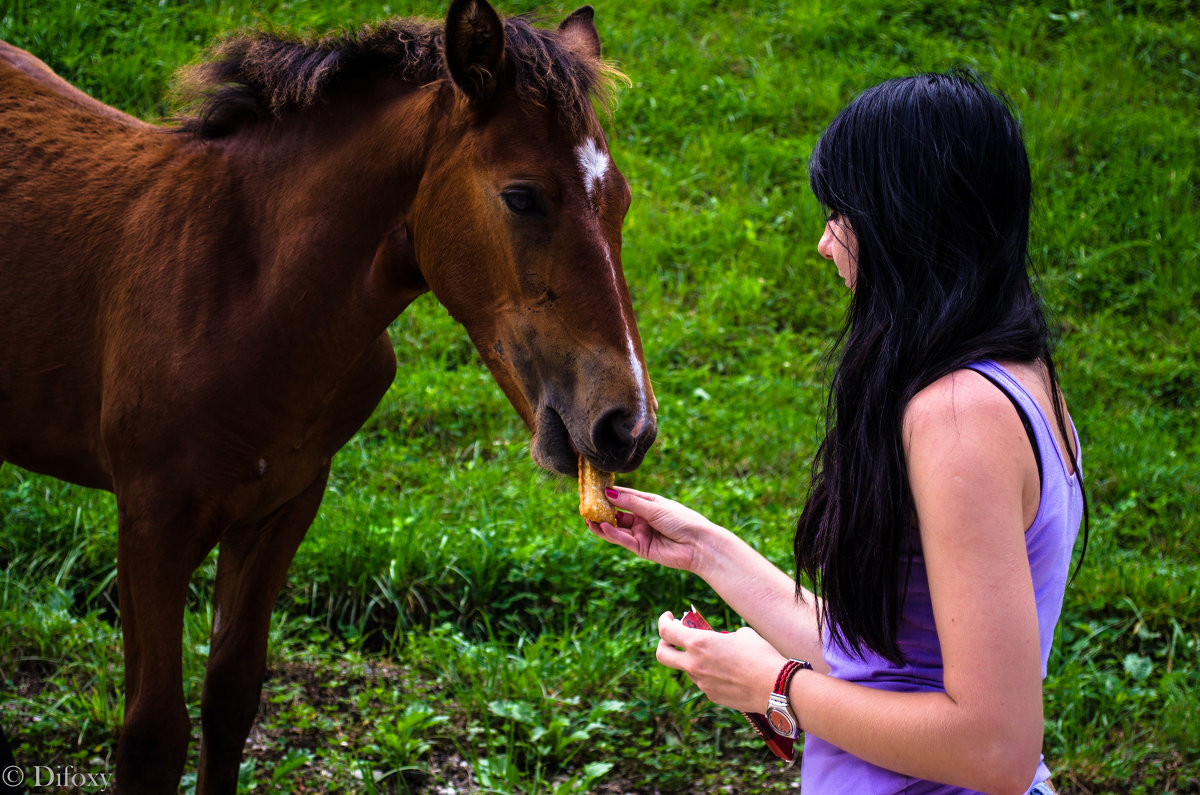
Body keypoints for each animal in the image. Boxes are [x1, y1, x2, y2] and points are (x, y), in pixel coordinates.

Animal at [2, 1, 657, 792]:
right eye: (522, 196)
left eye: (621, 201)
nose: (627, 425)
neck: (247, 294)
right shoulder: (151, 520)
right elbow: (152, 734)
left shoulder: (284, 503)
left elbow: (230, 697)